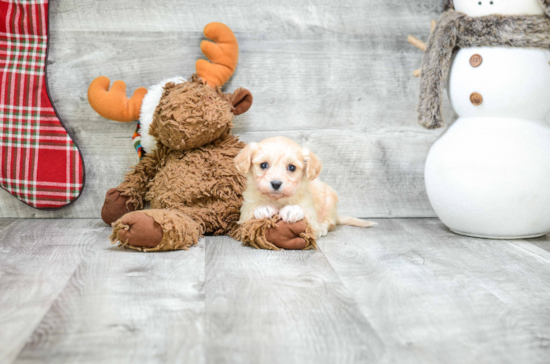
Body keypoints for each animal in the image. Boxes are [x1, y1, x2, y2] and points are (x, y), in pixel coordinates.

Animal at [235, 136, 378, 239]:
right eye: (263, 165)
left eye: (291, 167)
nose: (276, 183)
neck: (279, 199)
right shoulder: (245, 208)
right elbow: (250, 209)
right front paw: (264, 207)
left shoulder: (309, 208)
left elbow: (306, 213)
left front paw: (292, 210)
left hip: (330, 201)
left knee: (329, 222)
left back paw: (322, 228)